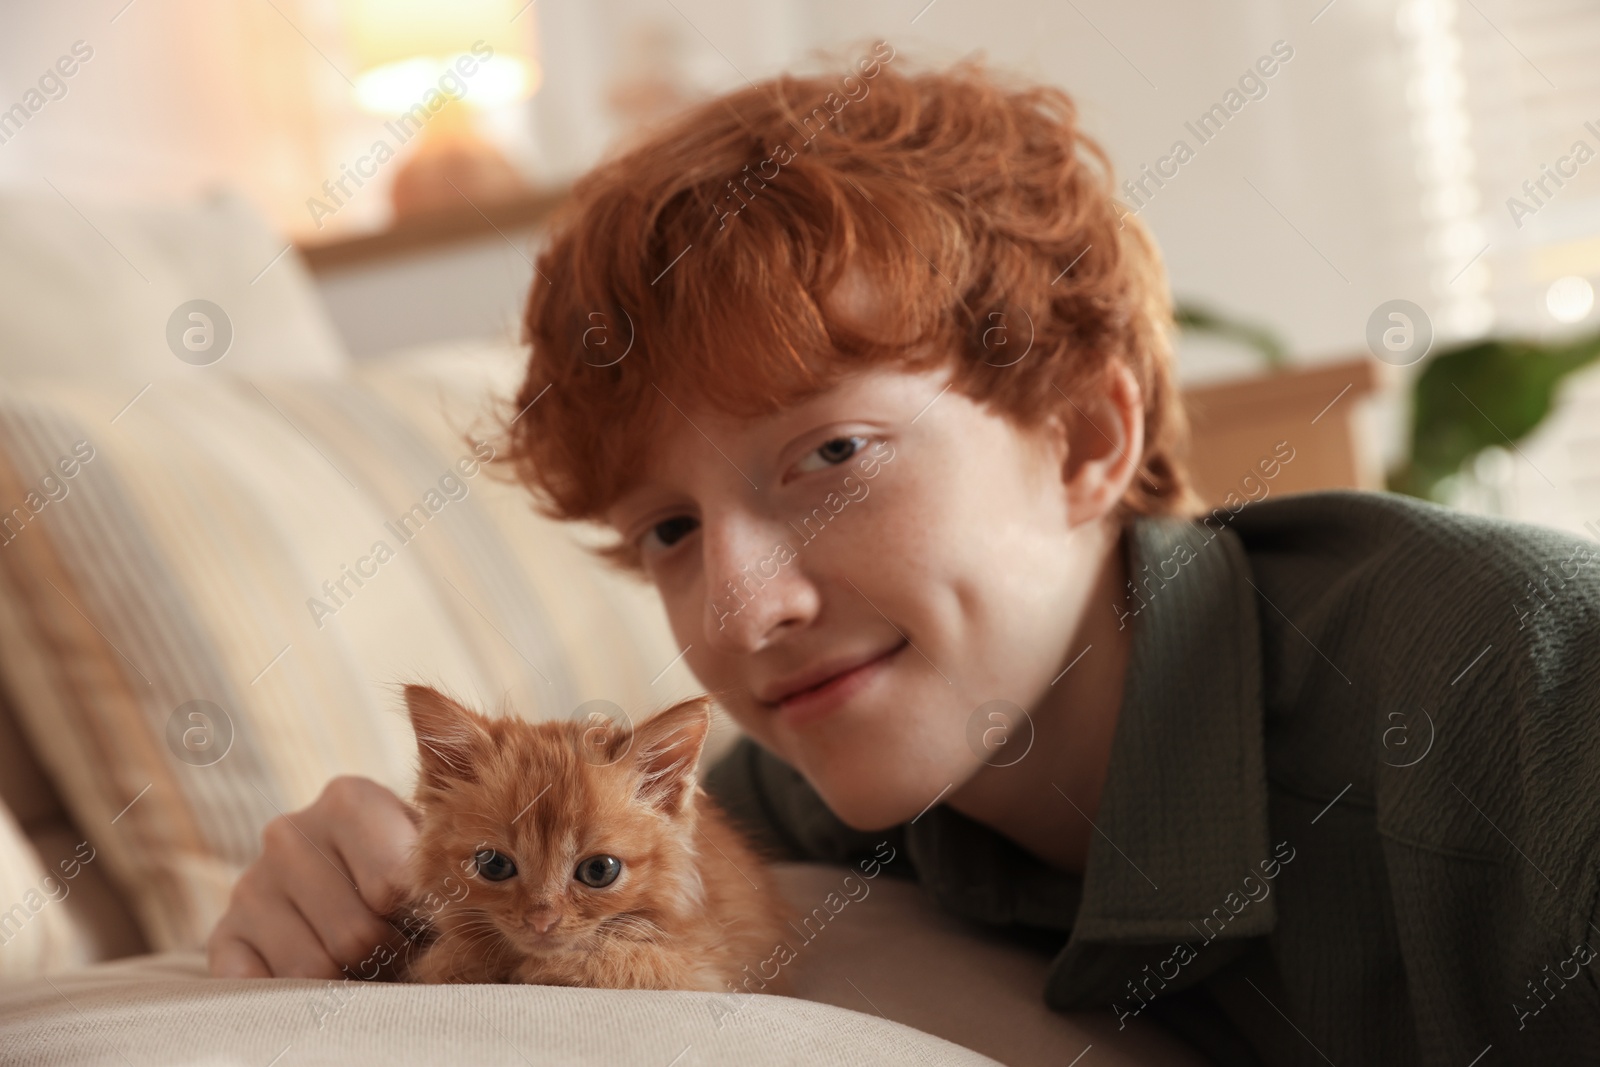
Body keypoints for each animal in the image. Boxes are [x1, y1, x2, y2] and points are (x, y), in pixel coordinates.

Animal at [393, 684, 787, 991]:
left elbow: (624, 962)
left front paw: (546, 968)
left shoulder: (704, 970)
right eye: (493, 865)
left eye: (600, 870)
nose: (541, 921)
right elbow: (445, 963)